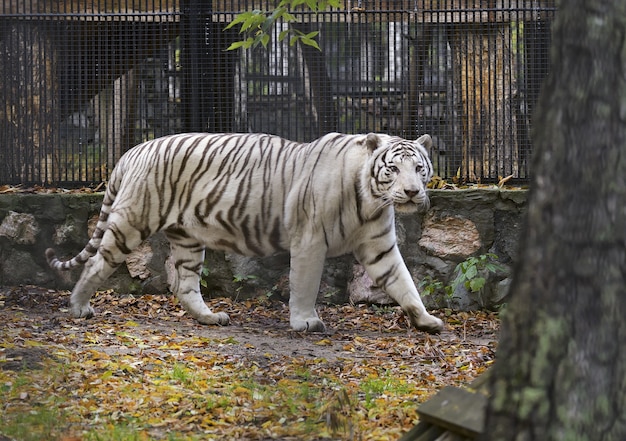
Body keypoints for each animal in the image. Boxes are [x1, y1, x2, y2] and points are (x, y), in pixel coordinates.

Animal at [45, 132, 444, 332]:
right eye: (393, 169)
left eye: (419, 168)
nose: (412, 193)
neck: (370, 200)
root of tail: (132, 151)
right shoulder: (310, 240)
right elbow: (305, 284)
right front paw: (305, 322)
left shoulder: (379, 245)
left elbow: (403, 282)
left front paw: (425, 320)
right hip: (133, 221)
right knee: (97, 263)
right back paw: (79, 307)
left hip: (188, 239)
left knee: (185, 285)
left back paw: (210, 317)